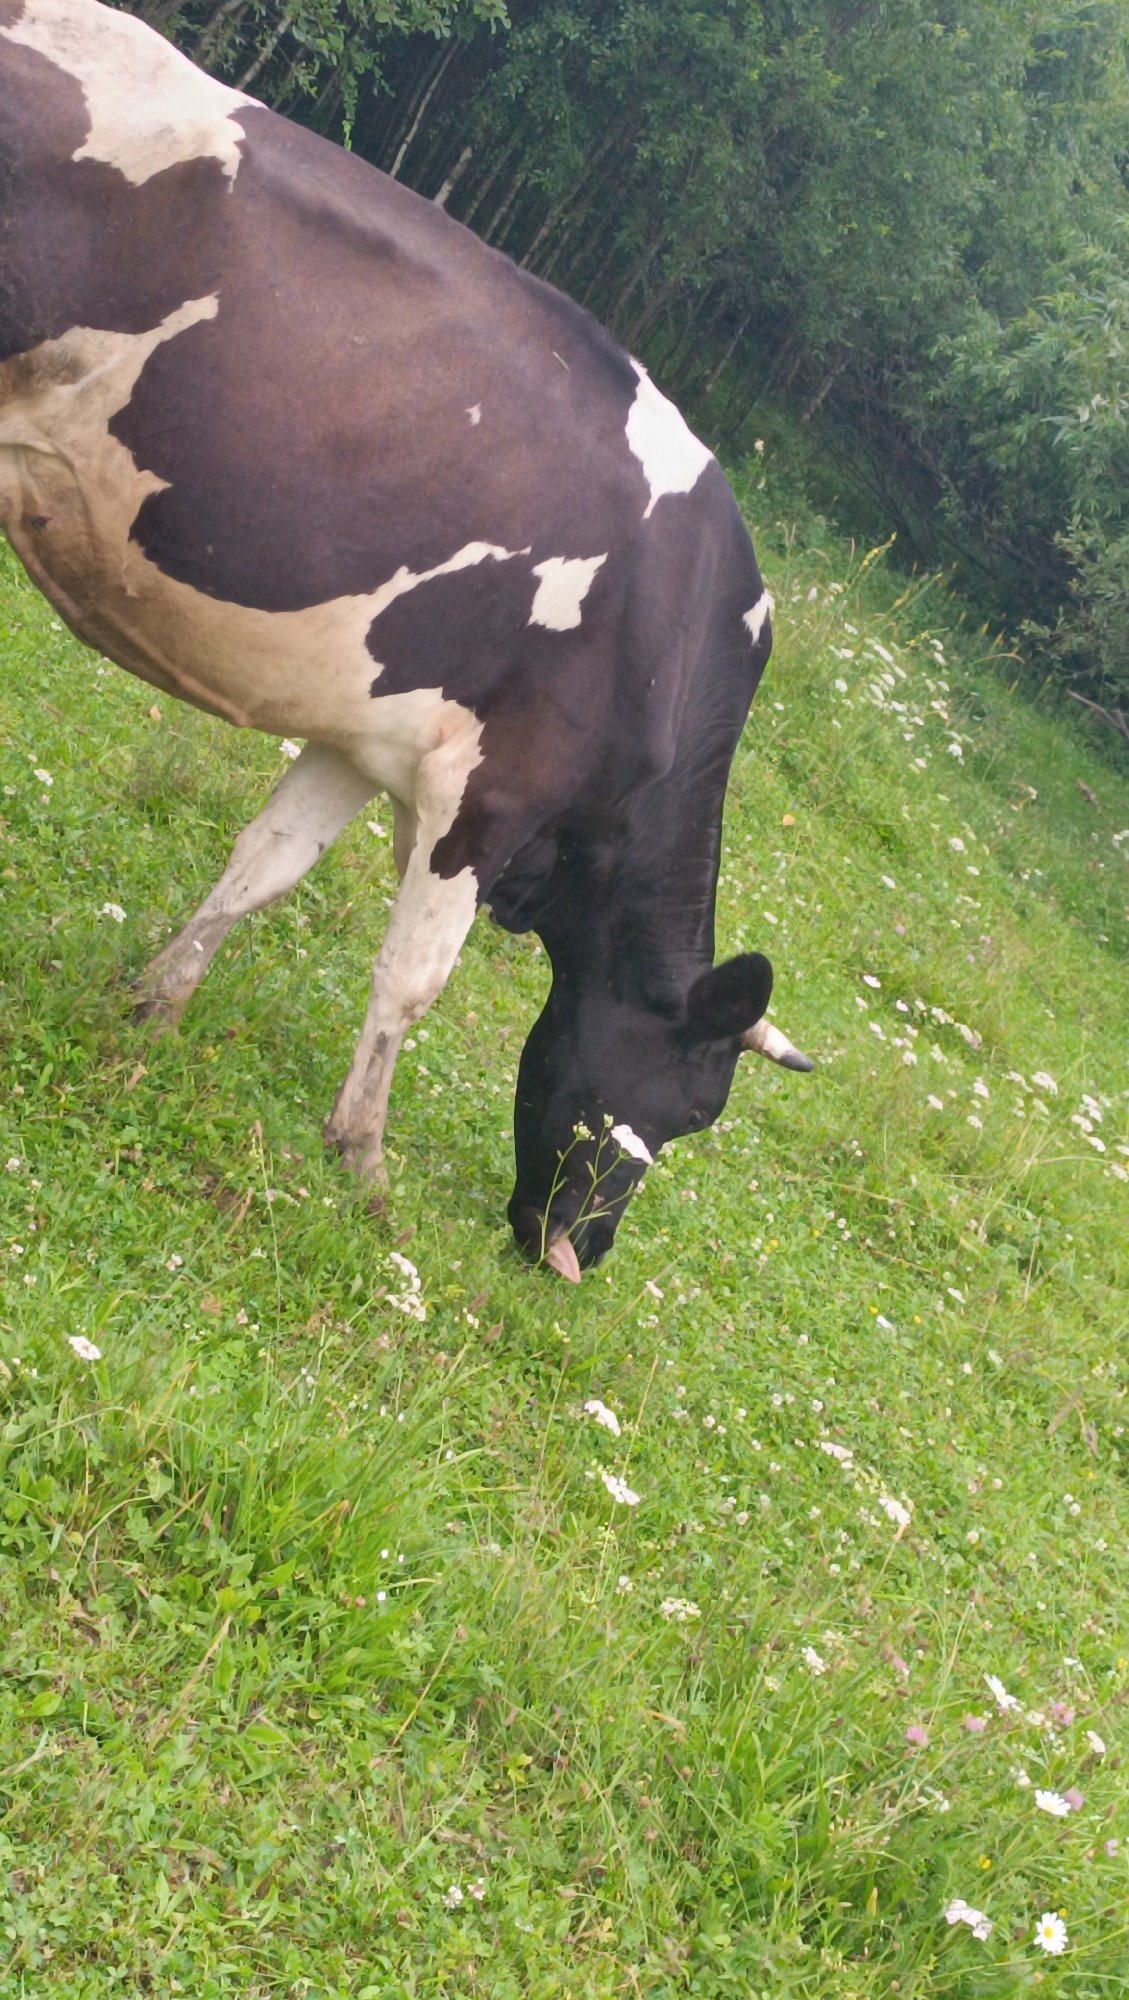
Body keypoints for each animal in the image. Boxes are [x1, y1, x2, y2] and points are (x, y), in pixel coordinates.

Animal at [0, 0, 811, 1278]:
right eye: (694, 1107)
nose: (579, 1251)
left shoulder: (365, 738)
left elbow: (264, 866)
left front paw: (155, 1007)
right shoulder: (487, 794)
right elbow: (412, 978)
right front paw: (361, 1160)